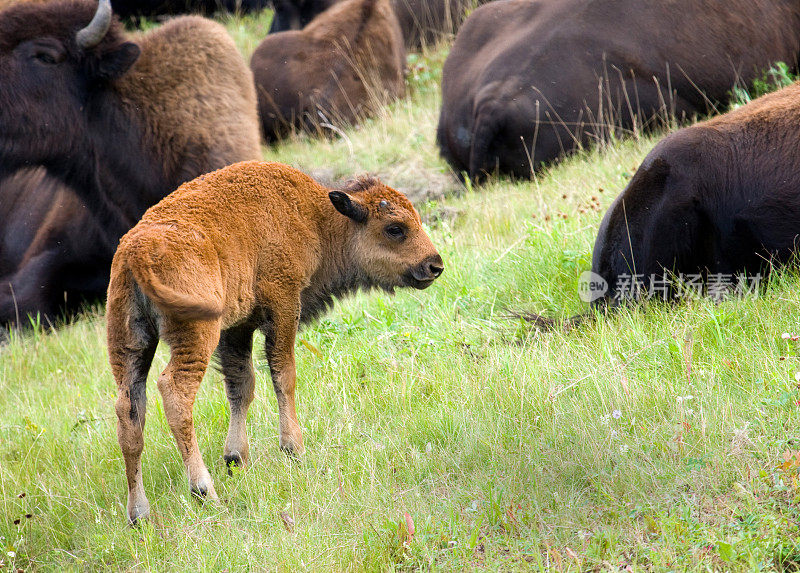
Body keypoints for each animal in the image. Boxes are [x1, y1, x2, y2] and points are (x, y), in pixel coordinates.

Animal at [106, 160, 444, 524]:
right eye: (395, 228)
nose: (434, 265)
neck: (316, 218)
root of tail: (136, 253)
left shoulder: (236, 329)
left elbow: (242, 386)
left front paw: (236, 458)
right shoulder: (282, 304)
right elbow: (284, 375)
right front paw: (293, 448)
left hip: (130, 345)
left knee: (130, 411)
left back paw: (139, 514)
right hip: (196, 335)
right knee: (175, 392)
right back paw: (204, 491)